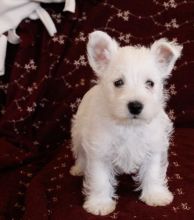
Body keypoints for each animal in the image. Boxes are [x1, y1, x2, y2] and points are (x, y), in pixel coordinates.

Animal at [70, 30, 183, 215]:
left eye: (150, 83)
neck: (129, 126)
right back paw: (78, 169)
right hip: (78, 133)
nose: (135, 106)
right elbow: (100, 179)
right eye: (118, 82)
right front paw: (100, 204)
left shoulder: (154, 148)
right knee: (80, 153)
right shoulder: (100, 151)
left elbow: (153, 173)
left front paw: (155, 195)